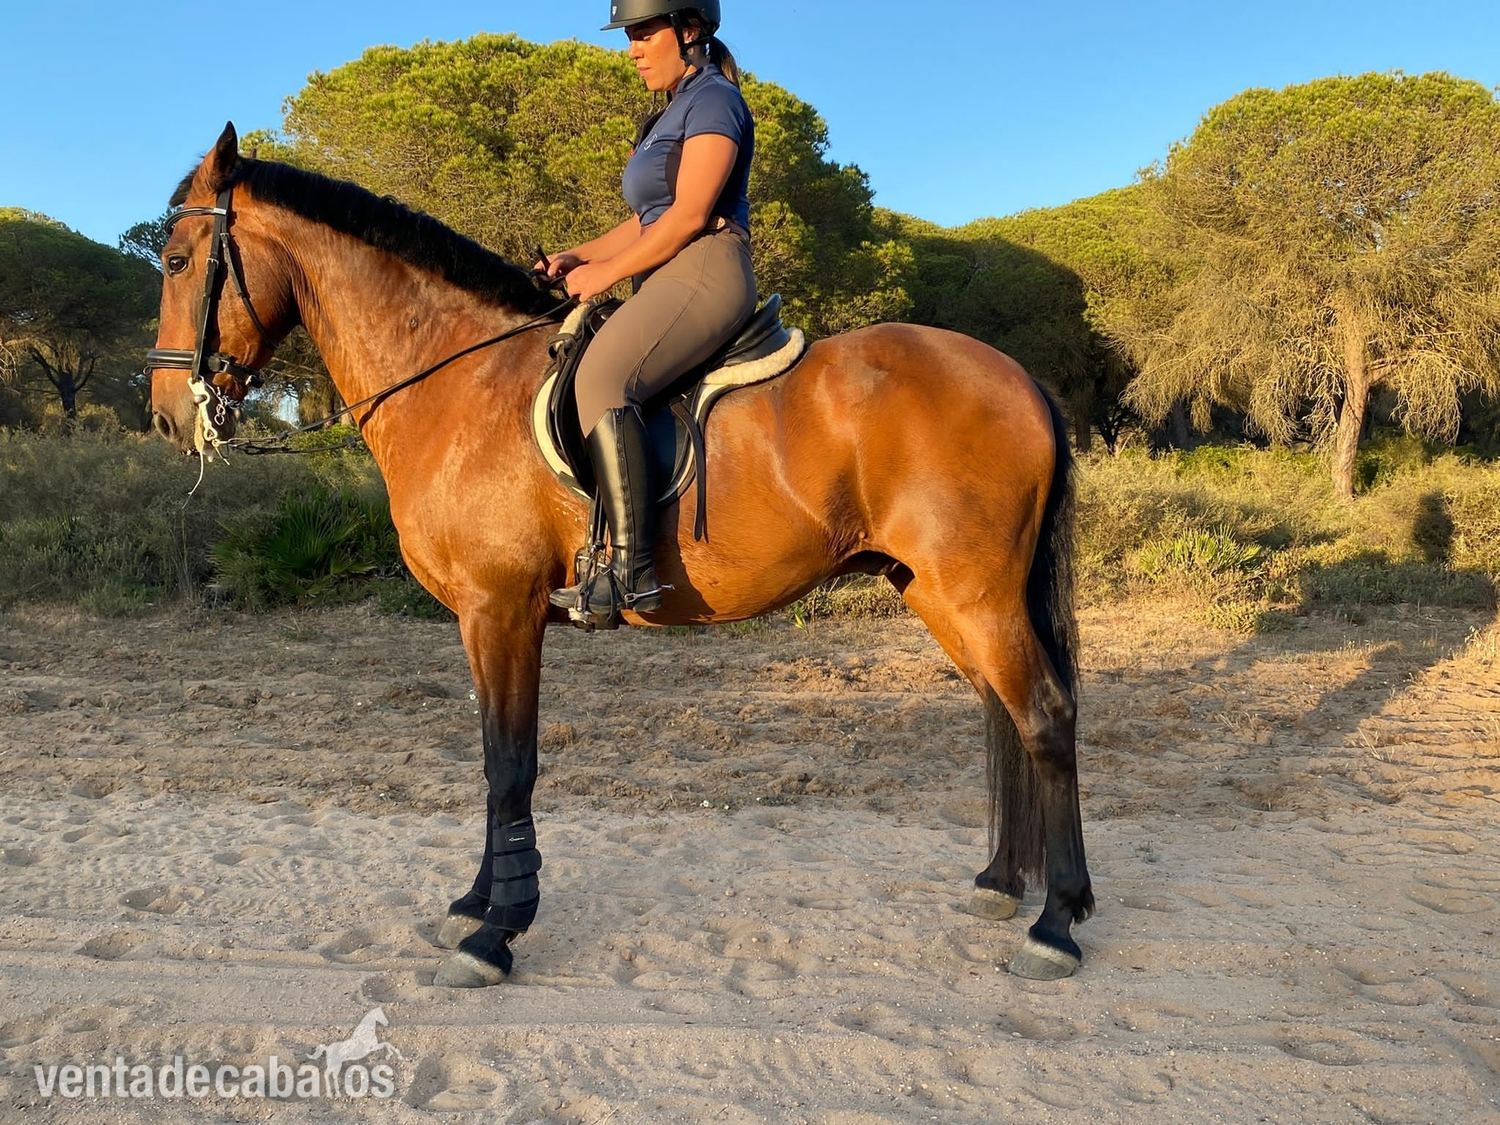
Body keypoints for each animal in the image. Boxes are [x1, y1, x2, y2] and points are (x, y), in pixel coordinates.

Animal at [148, 123, 1093, 988]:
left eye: (176, 259)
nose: (164, 413)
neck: (455, 379)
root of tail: (1021, 378)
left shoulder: (502, 608)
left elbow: (510, 764)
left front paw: (496, 933)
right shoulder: (481, 617)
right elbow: (492, 759)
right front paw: (477, 900)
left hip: (975, 593)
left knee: (1044, 714)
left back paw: (1056, 922)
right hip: (936, 591)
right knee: (1003, 712)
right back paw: (1003, 882)